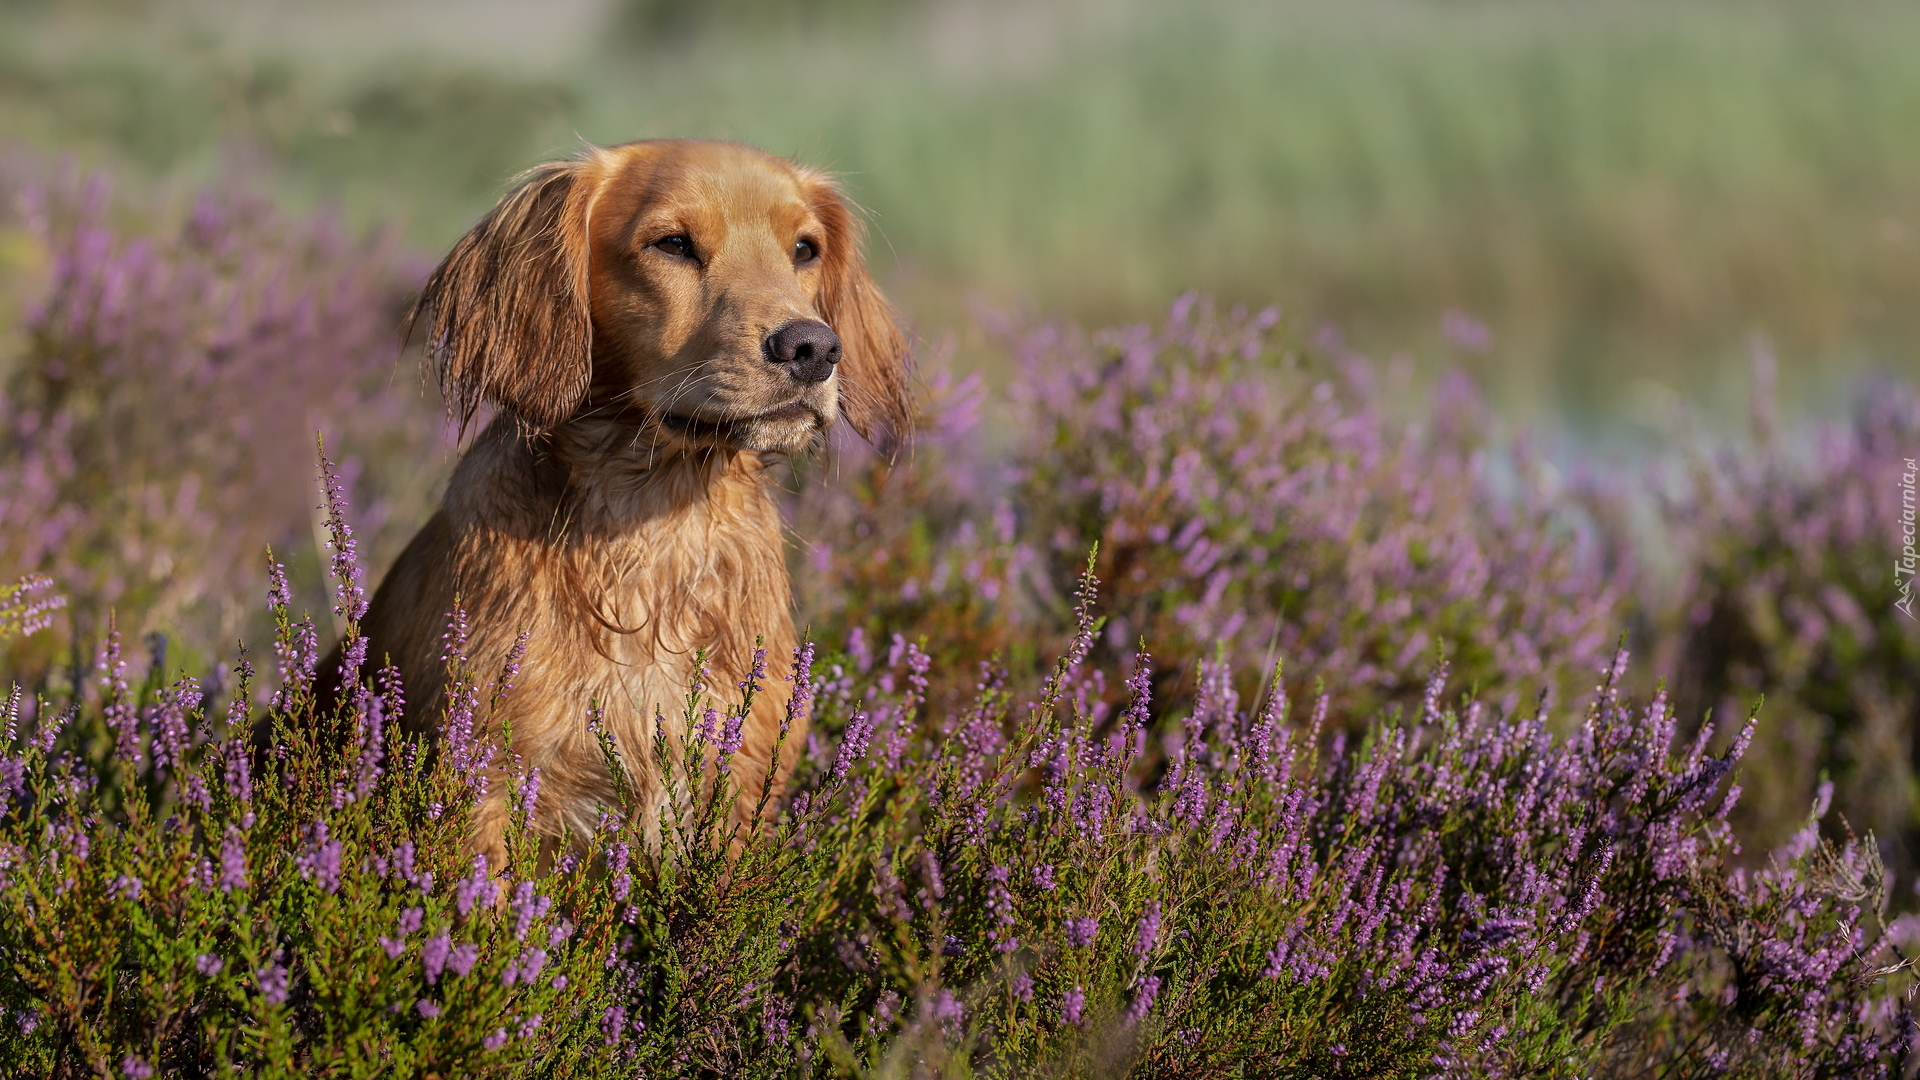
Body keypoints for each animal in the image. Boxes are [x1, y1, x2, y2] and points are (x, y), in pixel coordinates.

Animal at [351, 138, 913, 864]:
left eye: (805, 249)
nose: (813, 347)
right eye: (672, 244)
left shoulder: (741, 787)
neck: (654, 531)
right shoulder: (486, 779)